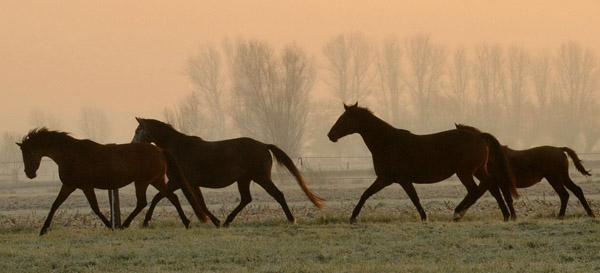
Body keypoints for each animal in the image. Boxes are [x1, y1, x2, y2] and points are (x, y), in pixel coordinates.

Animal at [16, 127, 209, 234]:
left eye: (28, 152)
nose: (29, 173)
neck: (70, 154)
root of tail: (160, 150)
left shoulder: (85, 186)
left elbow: (95, 208)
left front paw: (110, 225)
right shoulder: (69, 185)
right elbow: (55, 205)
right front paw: (43, 229)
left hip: (142, 182)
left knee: (144, 202)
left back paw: (125, 225)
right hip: (156, 181)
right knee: (170, 198)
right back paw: (186, 222)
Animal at [132, 118, 326, 226]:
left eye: (137, 130)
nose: (133, 144)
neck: (178, 148)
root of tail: (264, 145)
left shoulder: (177, 182)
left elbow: (158, 198)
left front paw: (145, 221)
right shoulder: (191, 184)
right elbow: (200, 203)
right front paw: (215, 221)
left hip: (261, 178)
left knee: (278, 195)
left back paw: (292, 219)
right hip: (245, 180)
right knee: (246, 199)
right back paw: (227, 221)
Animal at [326, 102, 516, 221]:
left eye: (345, 118)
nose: (330, 135)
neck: (388, 142)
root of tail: (479, 136)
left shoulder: (399, 179)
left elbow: (414, 198)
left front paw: (425, 217)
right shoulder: (385, 179)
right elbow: (366, 194)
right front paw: (352, 217)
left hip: (465, 173)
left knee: (475, 190)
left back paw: (458, 213)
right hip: (478, 170)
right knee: (491, 186)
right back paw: (506, 215)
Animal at [454, 123, 596, 219]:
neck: (492, 155)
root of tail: (560, 149)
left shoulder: (500, 183)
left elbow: (505, 199)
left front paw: (512, 217)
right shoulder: (494, 184)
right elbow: (500, 198)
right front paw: (508, 217)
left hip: (554, 178)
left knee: (564, 194)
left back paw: (562, 215)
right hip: (563, 177)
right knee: (576, 191)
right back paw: (589, 213)